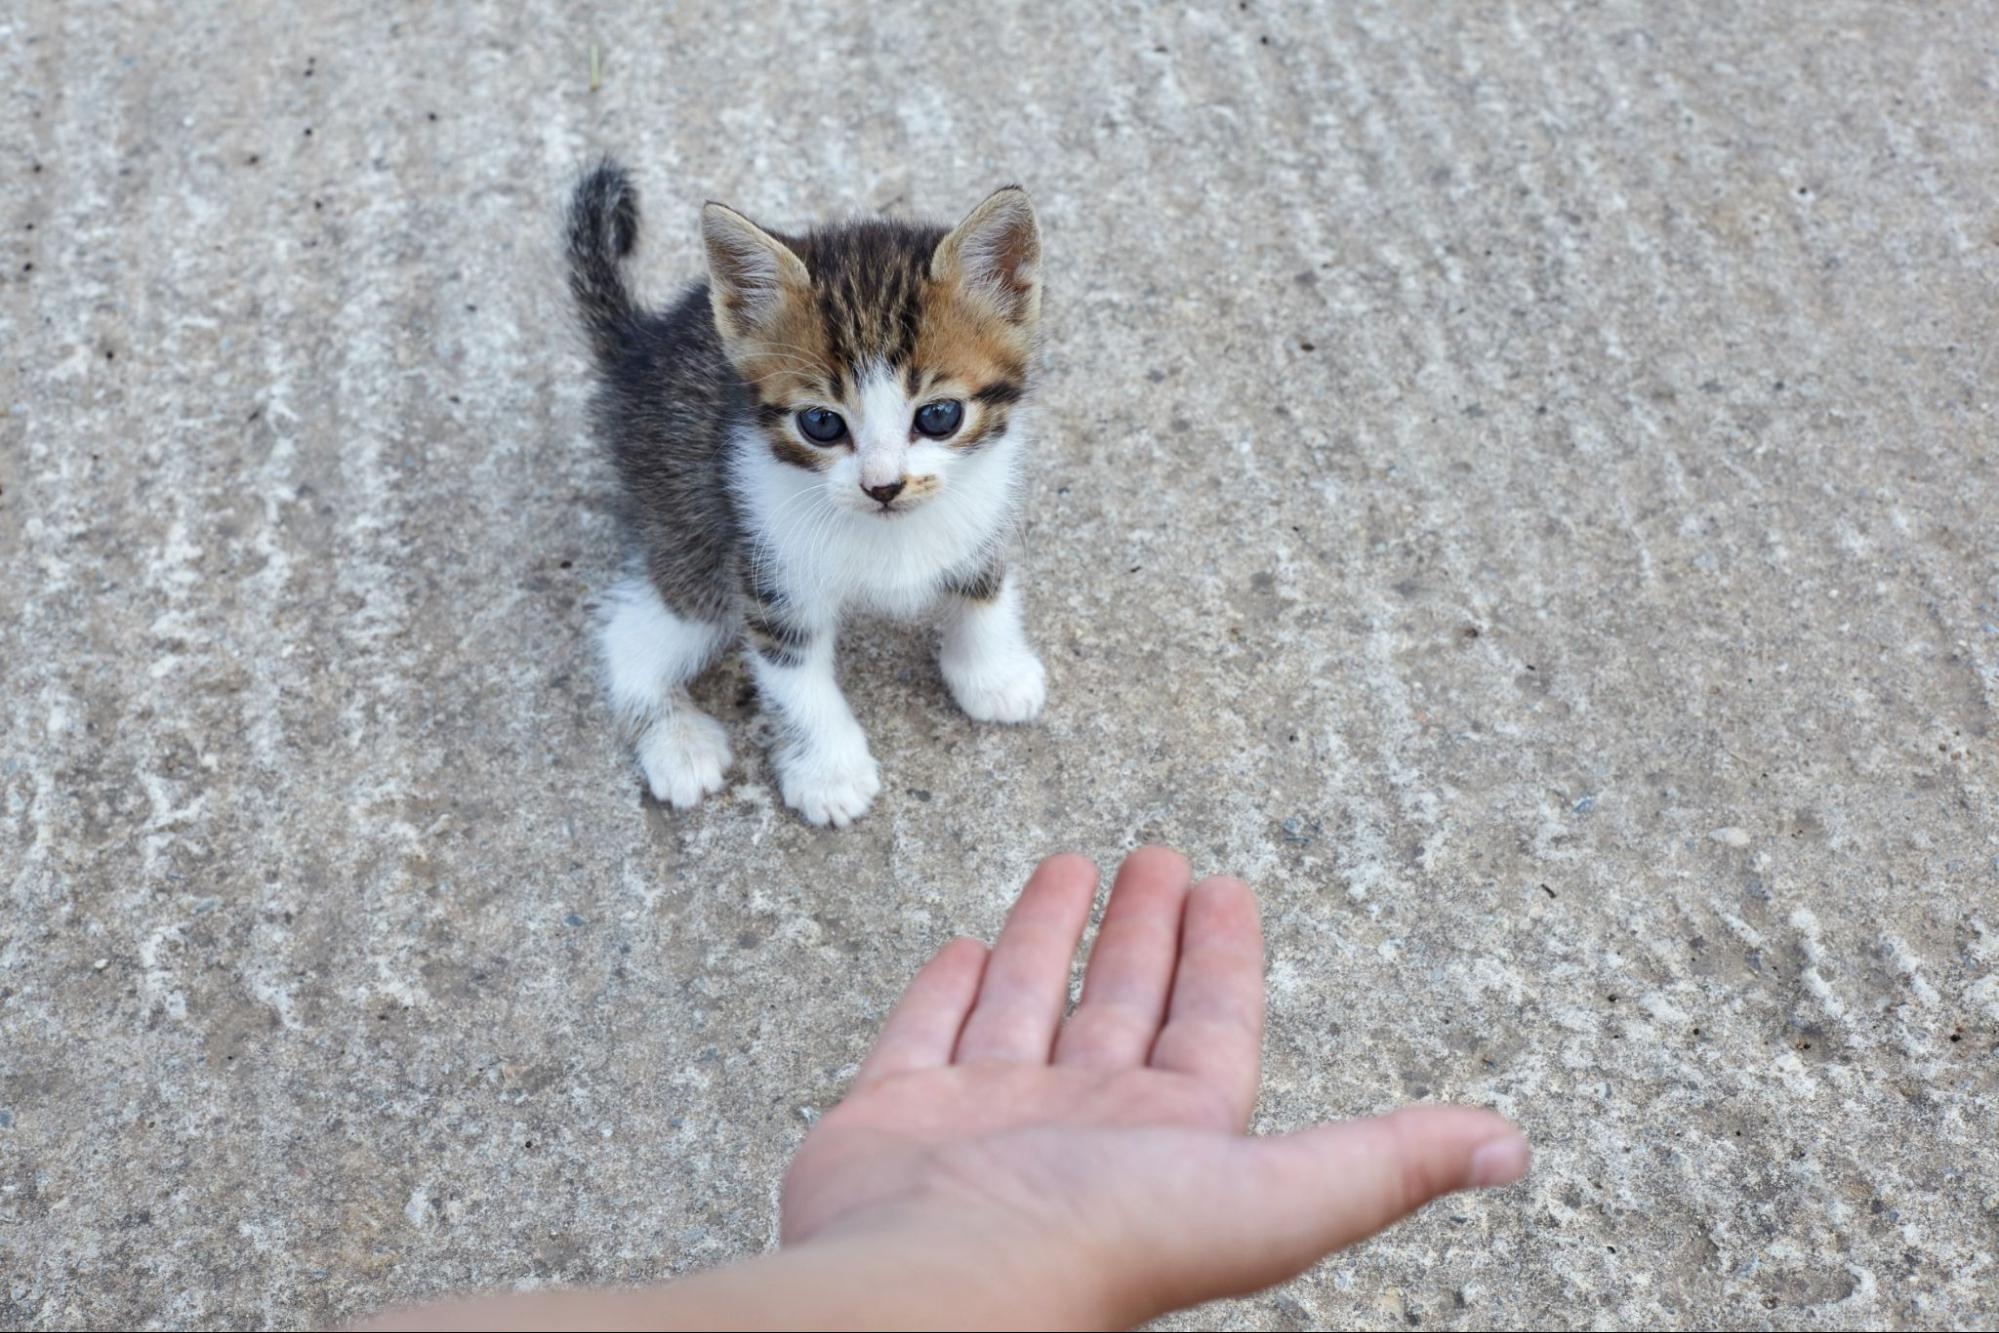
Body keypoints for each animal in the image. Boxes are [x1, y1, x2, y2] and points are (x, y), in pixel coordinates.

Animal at [563, 156, 1047, 823]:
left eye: (939, 416)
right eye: (821, 423)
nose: (883, 486)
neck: (888, 532)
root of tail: (638, 348)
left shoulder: (984, 504)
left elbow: (984, 590)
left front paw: (993, 675)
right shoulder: (769, 568)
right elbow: (795, 679)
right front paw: (829, 773)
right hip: (690, 518)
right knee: (631, 633)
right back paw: (677, 744)